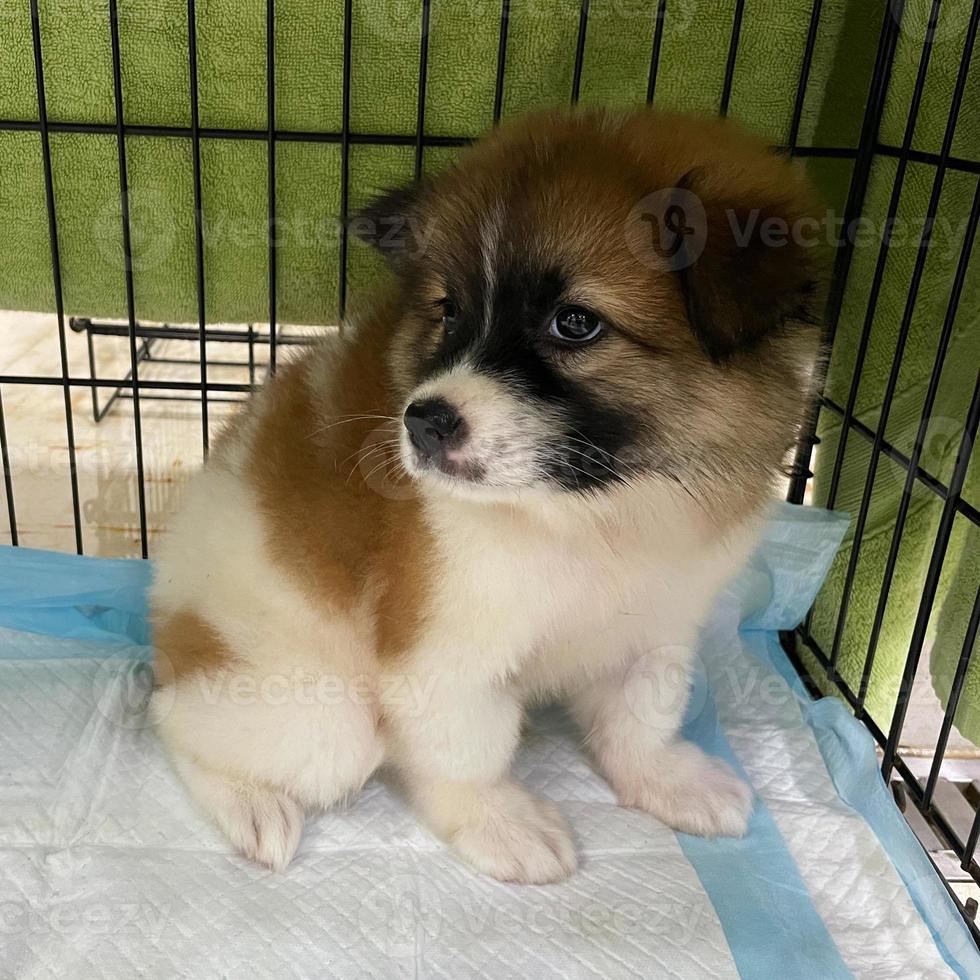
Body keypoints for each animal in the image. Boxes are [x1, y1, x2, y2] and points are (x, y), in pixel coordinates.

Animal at [151, 107, 828, 880]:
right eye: (449, 311)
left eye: (575, 322)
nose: (424, 421)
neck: (590, 510)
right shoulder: (448, 645)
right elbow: (467, 748)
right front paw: (499, 821)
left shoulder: (652, 626)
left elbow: (641, 716)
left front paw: (666, 779)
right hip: (315, 712)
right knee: (173, 717)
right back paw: (253, 808)